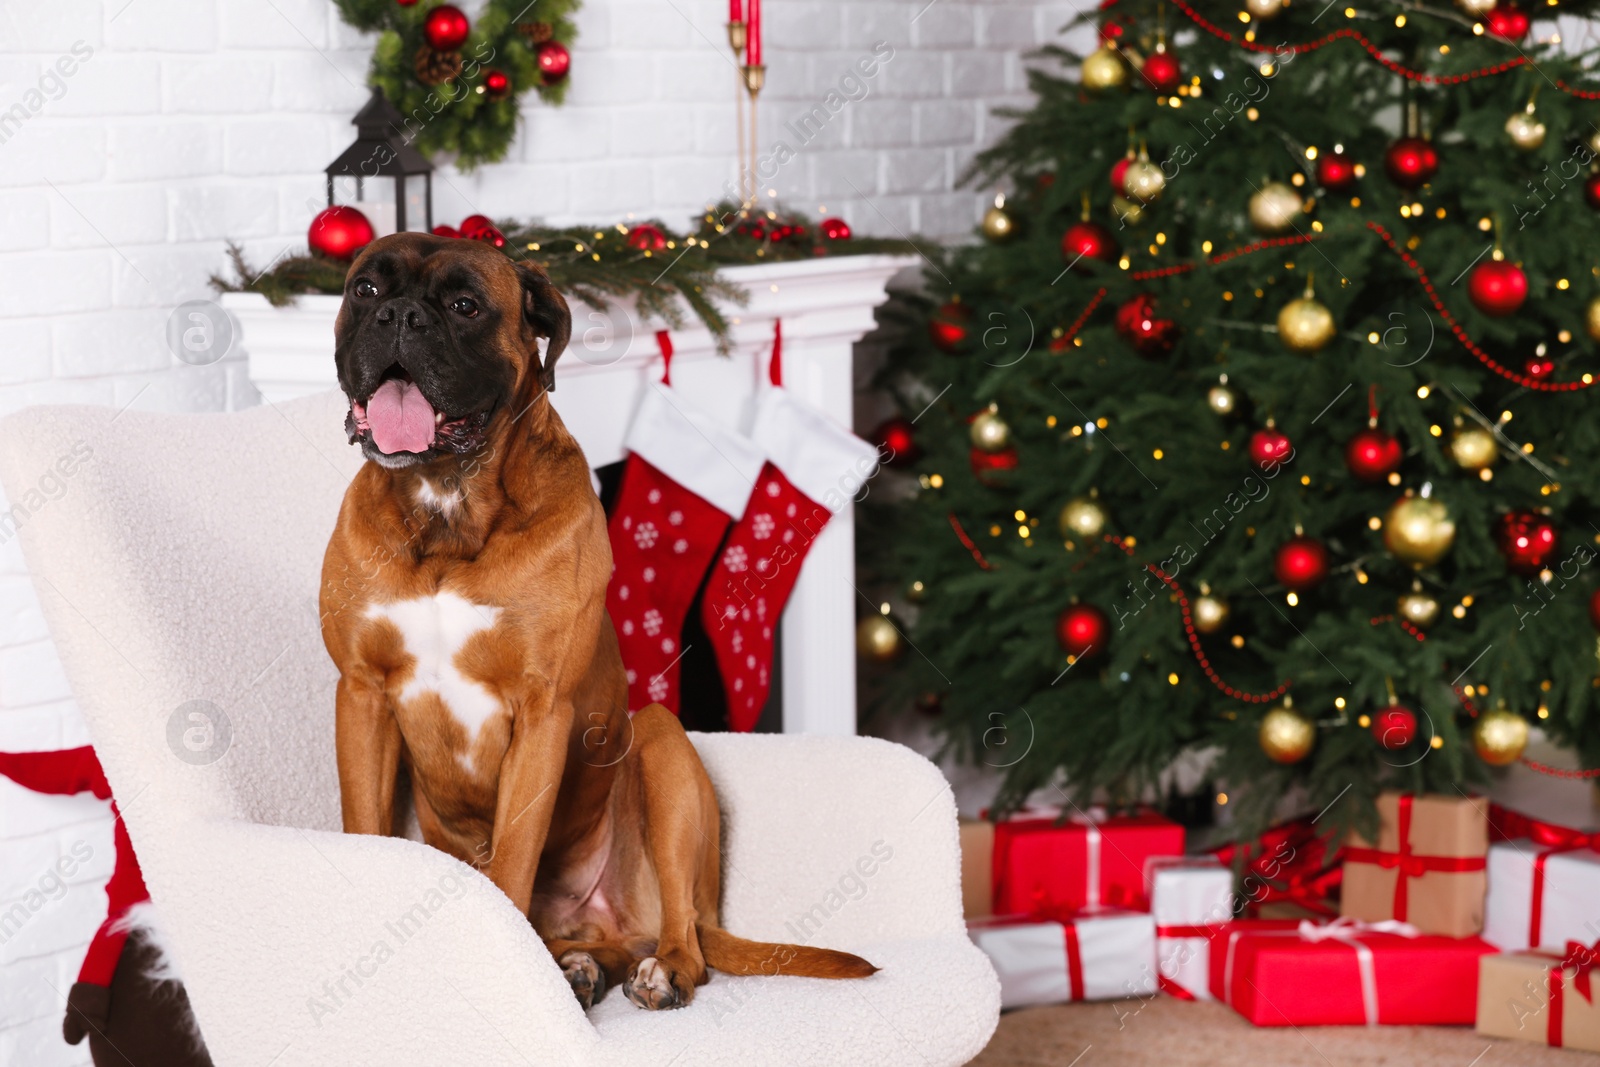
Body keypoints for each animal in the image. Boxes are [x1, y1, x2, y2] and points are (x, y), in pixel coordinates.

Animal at [320, 231, 883, 1011]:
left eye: (465, 306)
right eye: (365, 290)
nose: (399, 316)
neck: (447, 504)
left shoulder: (541, 714)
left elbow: (514, 859)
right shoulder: (363, 696)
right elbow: (366, 825)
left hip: (664, 747)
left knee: (685, 934)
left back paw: (660, 970)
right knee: (599, 946)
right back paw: (579, 967)